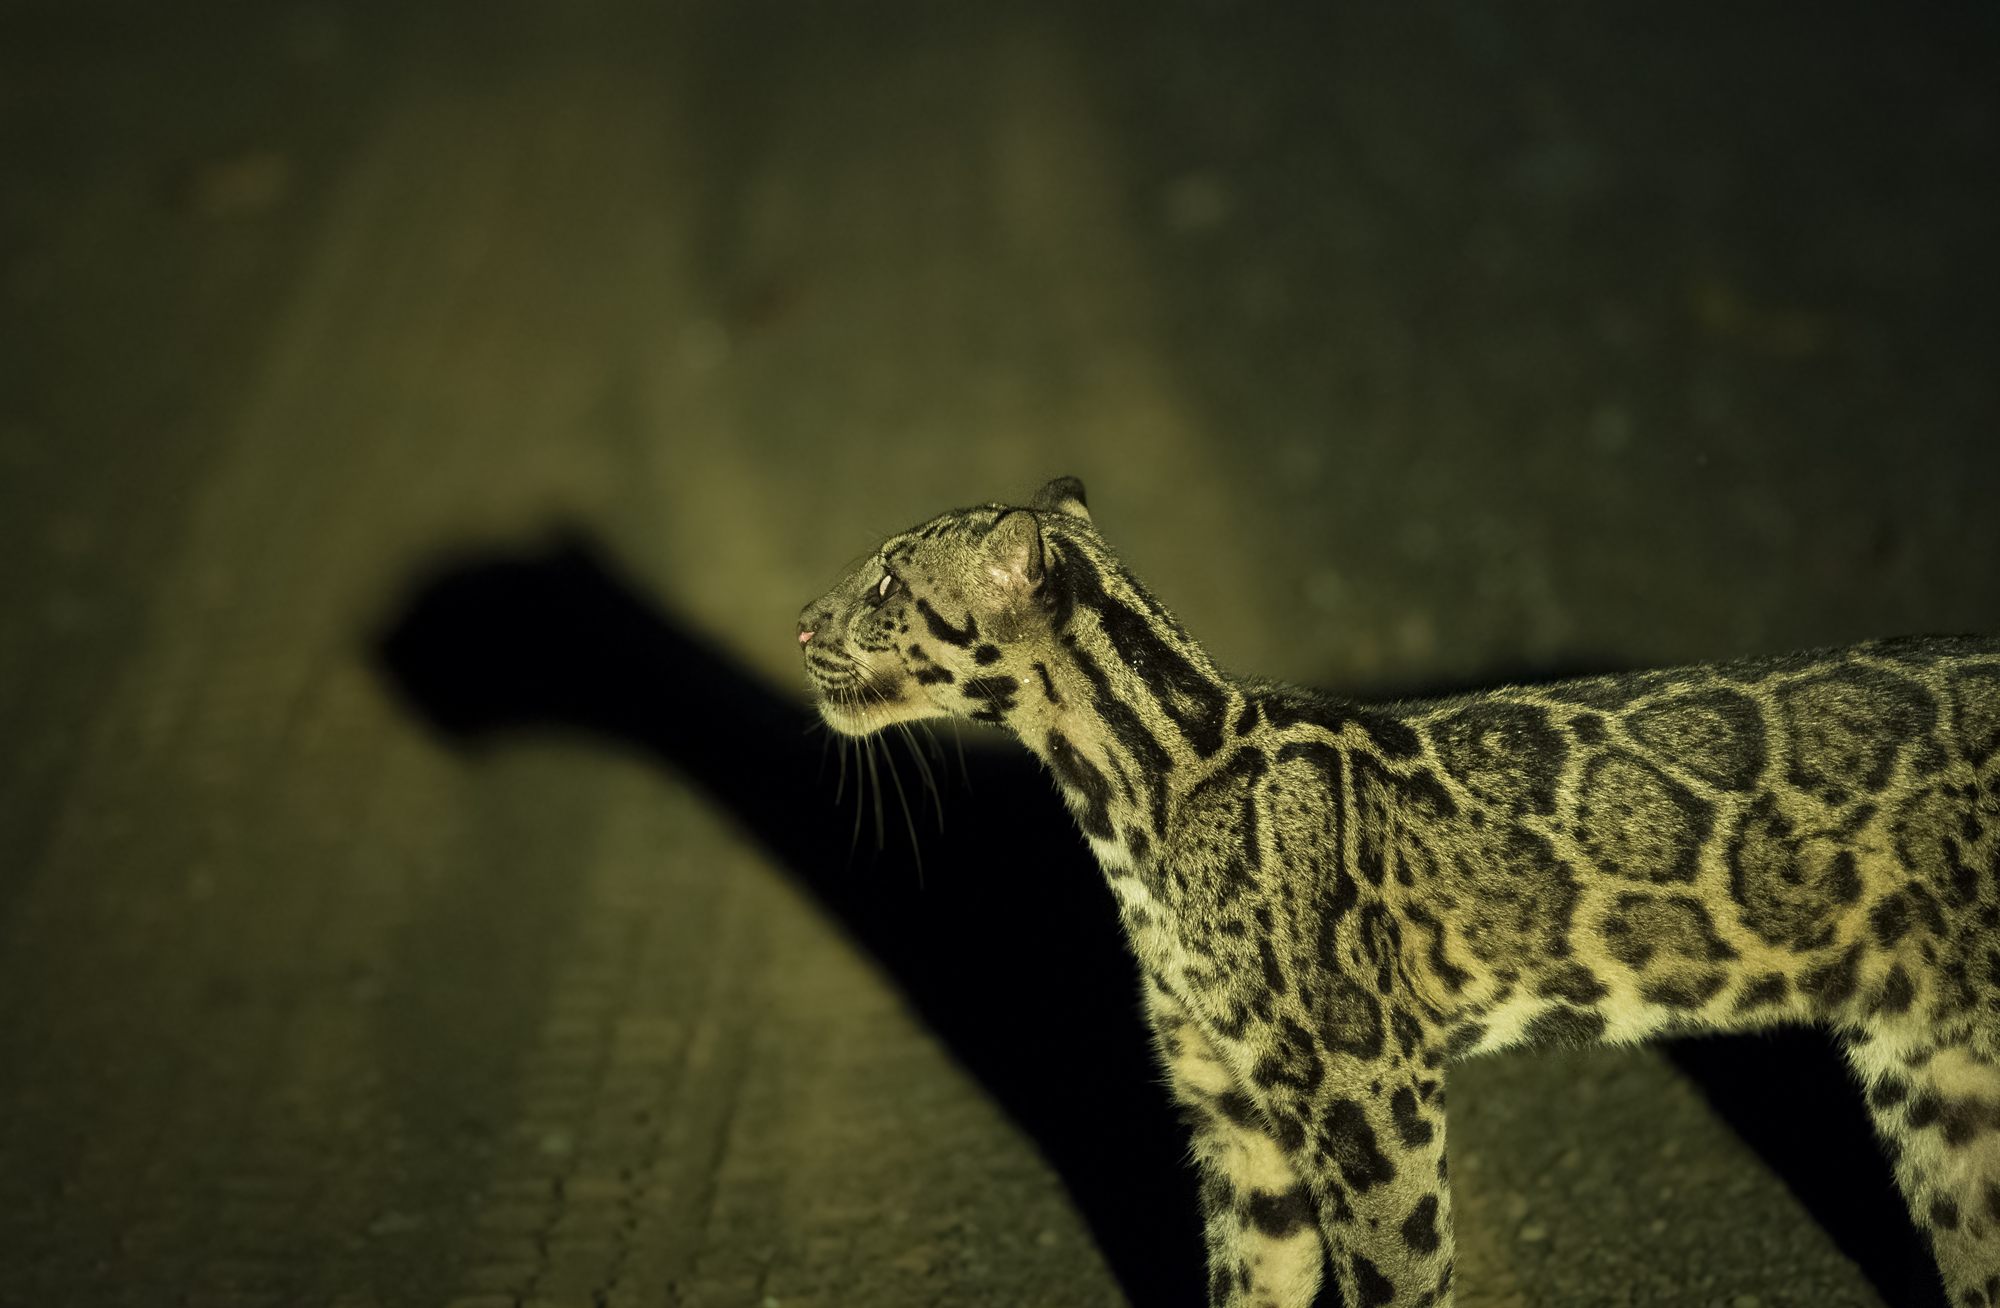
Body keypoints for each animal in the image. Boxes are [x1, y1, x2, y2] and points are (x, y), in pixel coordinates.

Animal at [795, 475, 2000, 1308]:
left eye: (889, 584)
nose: (802, 622)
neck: (1128, 806)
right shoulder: (1236, 1120)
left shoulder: (1364, 1088)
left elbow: (1397, 1274)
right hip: (1934, 1075)